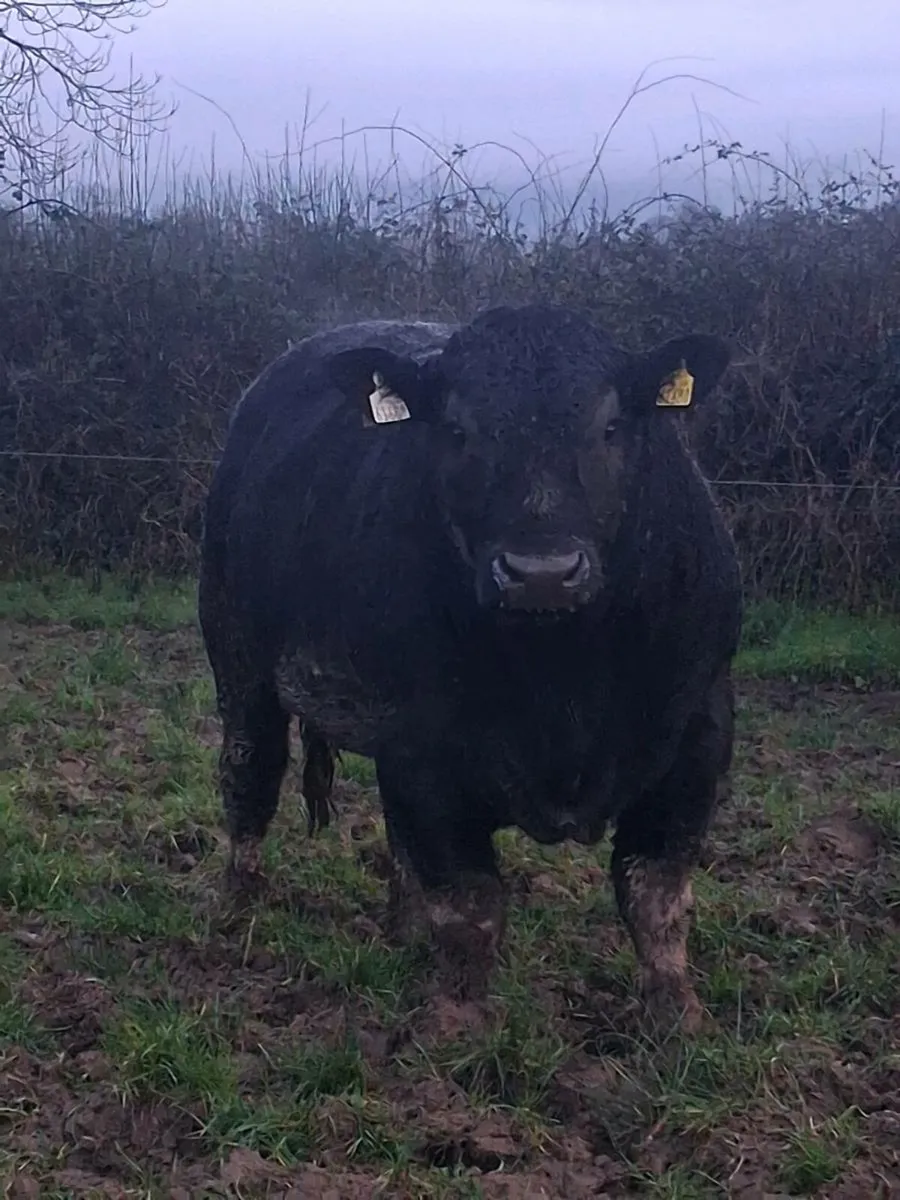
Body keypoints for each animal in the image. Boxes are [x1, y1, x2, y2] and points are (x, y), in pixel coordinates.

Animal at [198, 303, 742, 1032]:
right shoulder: (424, 750)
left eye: (610, 426)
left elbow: (656, 896)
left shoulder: (698, 736)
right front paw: (456, 1022)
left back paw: (400, 931)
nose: (541, 573)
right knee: (249, 774)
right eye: (457, 430)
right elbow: (469, 903)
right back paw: (239, 908)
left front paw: (678, 1018)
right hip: (237, 654)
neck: (565, 678)